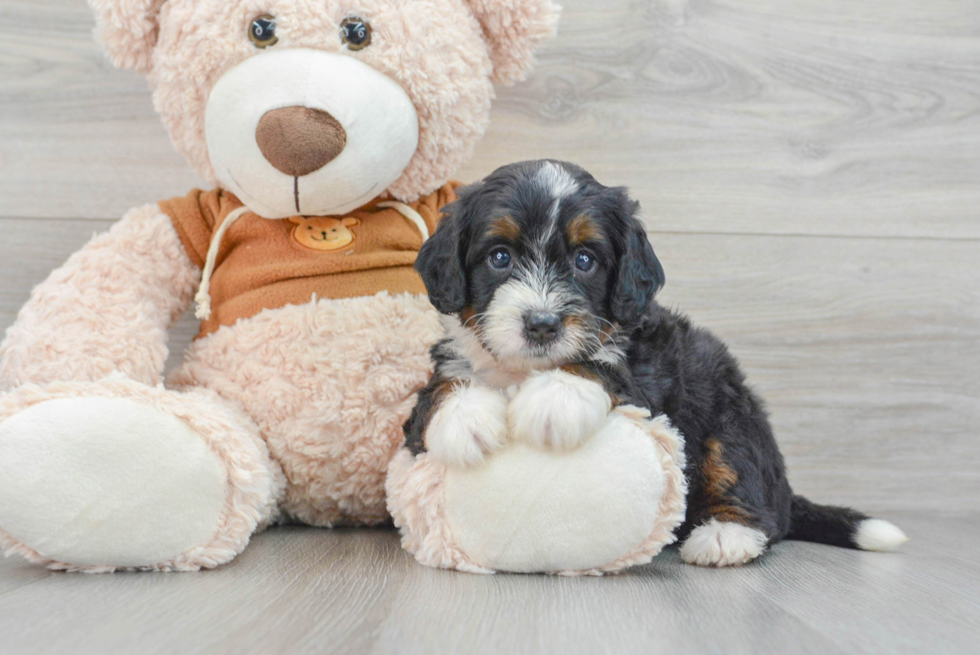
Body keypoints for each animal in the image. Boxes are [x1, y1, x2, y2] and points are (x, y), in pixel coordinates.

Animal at [402, 160, 908, 568]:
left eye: (585, 259)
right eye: (500, 257)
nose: (542, 324)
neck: (522, 368)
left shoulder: (650, 374)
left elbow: (605, 367)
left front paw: (555, 399)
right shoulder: (446, 369)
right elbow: (438, 390)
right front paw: (465, 421)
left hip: (731, 416)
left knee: (750, 488)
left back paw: (727, 535)